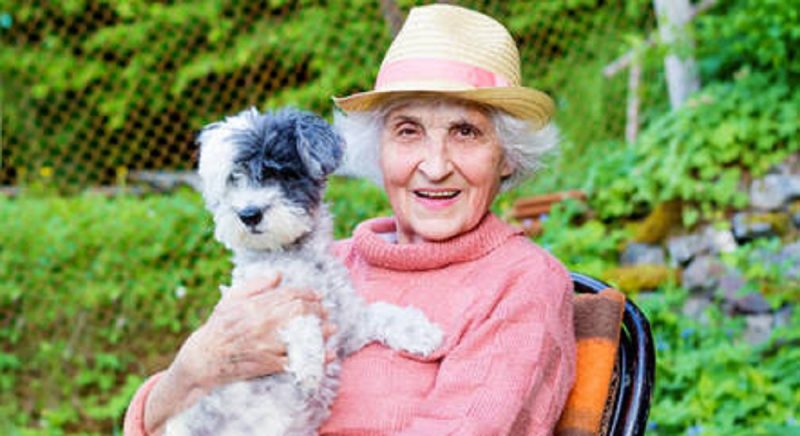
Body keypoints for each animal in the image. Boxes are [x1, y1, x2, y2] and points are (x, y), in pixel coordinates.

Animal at [166, 108, 444, 436]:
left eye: (279, 172)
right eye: (233, 178)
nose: (249, 214)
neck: (298, 257)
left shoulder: (347, 327)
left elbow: (383, 311)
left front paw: (421, 332)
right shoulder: (267, 305)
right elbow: (298, 315)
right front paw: (309, 363)